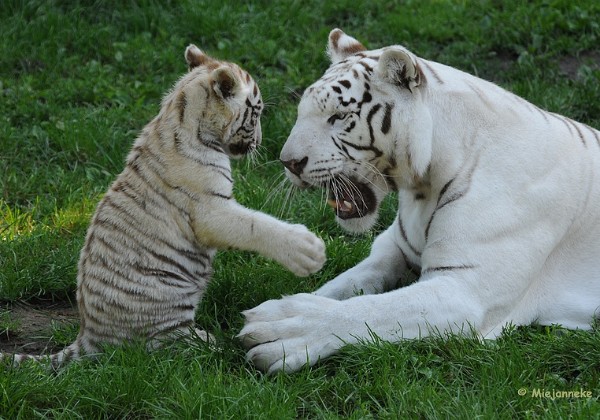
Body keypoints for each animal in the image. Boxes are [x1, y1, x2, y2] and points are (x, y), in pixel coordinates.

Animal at [1, 45, 328, 368]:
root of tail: (89, 337)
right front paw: (308, 250)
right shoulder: (210, 211)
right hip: (162, 315)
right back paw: (212, 342)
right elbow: (254, 224)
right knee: (168, 347)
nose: (260, 142)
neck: (180, 113)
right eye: (256, 113)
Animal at [239, 27, 600, 372]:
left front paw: (283, 328)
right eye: (301, 112)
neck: (425, 186)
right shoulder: (393, 249)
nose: (288, 162)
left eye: (339, 117)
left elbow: (375, 308)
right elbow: (340, 287)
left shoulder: (466, 288)